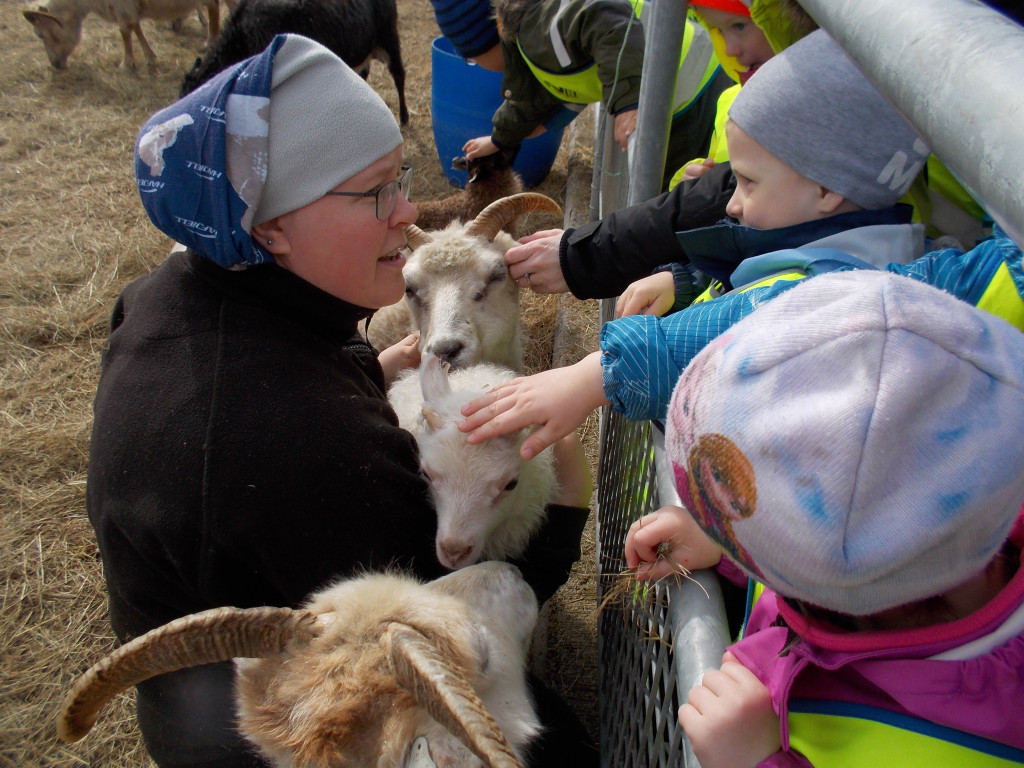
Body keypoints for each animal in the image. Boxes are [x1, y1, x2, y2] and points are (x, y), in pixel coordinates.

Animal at [23, 0, 224, 72]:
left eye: (39, 34)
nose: (55, 65)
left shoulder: (122, 6)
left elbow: (125, 32)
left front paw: (126, 64)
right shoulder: (128, 8)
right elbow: (135, 27)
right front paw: (149, 57)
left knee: (214, 7)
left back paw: (211, 42)